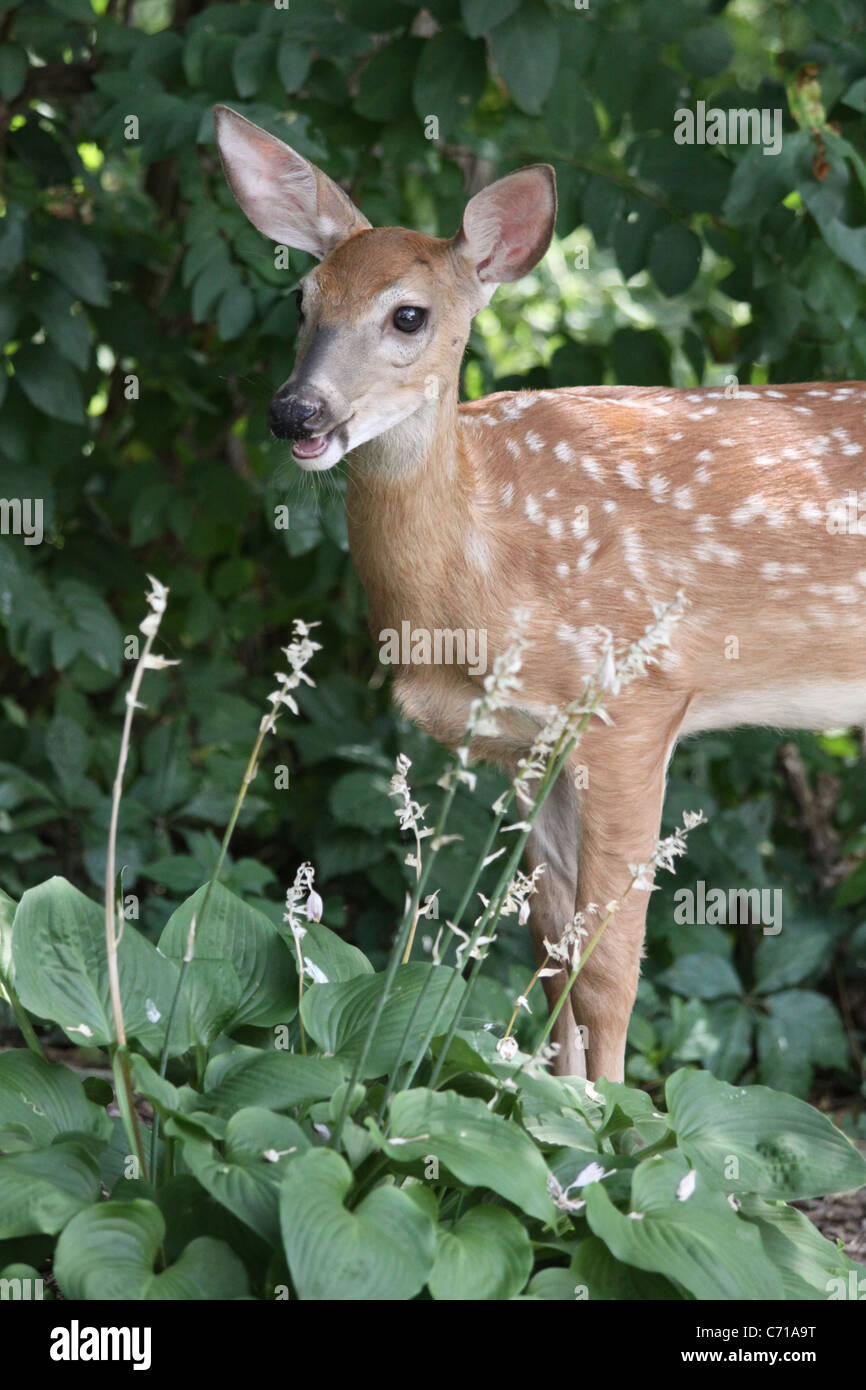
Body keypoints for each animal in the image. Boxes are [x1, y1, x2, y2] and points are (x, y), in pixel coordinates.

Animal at [214, 105, 866, 1084]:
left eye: (409, 315)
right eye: (302, 300)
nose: (297, 412)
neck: (481, 576)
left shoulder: (636, 699)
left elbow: (607, 968)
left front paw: (610, 1120)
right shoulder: (528, 739)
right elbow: (546, 947)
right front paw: (544, 1101)